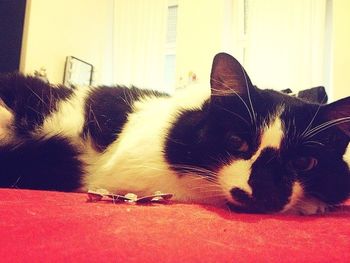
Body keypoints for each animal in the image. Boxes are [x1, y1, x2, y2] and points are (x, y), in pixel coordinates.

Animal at [0, 53, 348, 214]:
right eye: (237, 142)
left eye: (303, 163)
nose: (263, 190)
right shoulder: (126, 169)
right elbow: (203, 189)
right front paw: (310, 204)